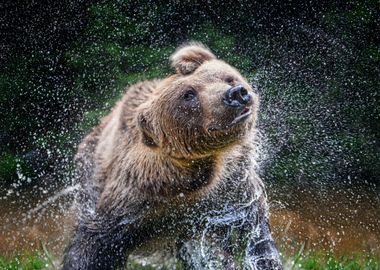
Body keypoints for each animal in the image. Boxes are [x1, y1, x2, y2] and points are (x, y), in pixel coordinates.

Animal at [62, 43, 282, 268]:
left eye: (229, 78)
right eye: (188, 94)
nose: (236, 93)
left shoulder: (231, 192)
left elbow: (255, 237)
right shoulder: (133, 200)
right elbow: (94, 242)